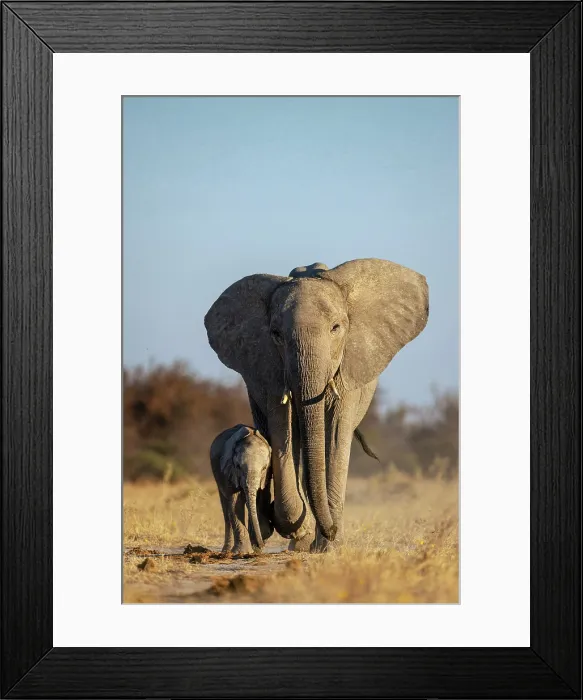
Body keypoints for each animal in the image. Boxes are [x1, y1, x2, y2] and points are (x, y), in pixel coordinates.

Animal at [210, 424, 274, 555]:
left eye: (264, 468)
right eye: (238, 467)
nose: (261, 545)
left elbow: (257, 499)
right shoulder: (229, 471)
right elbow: (235, 502)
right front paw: (242, 552)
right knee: (226, 510)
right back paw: (226, 551)